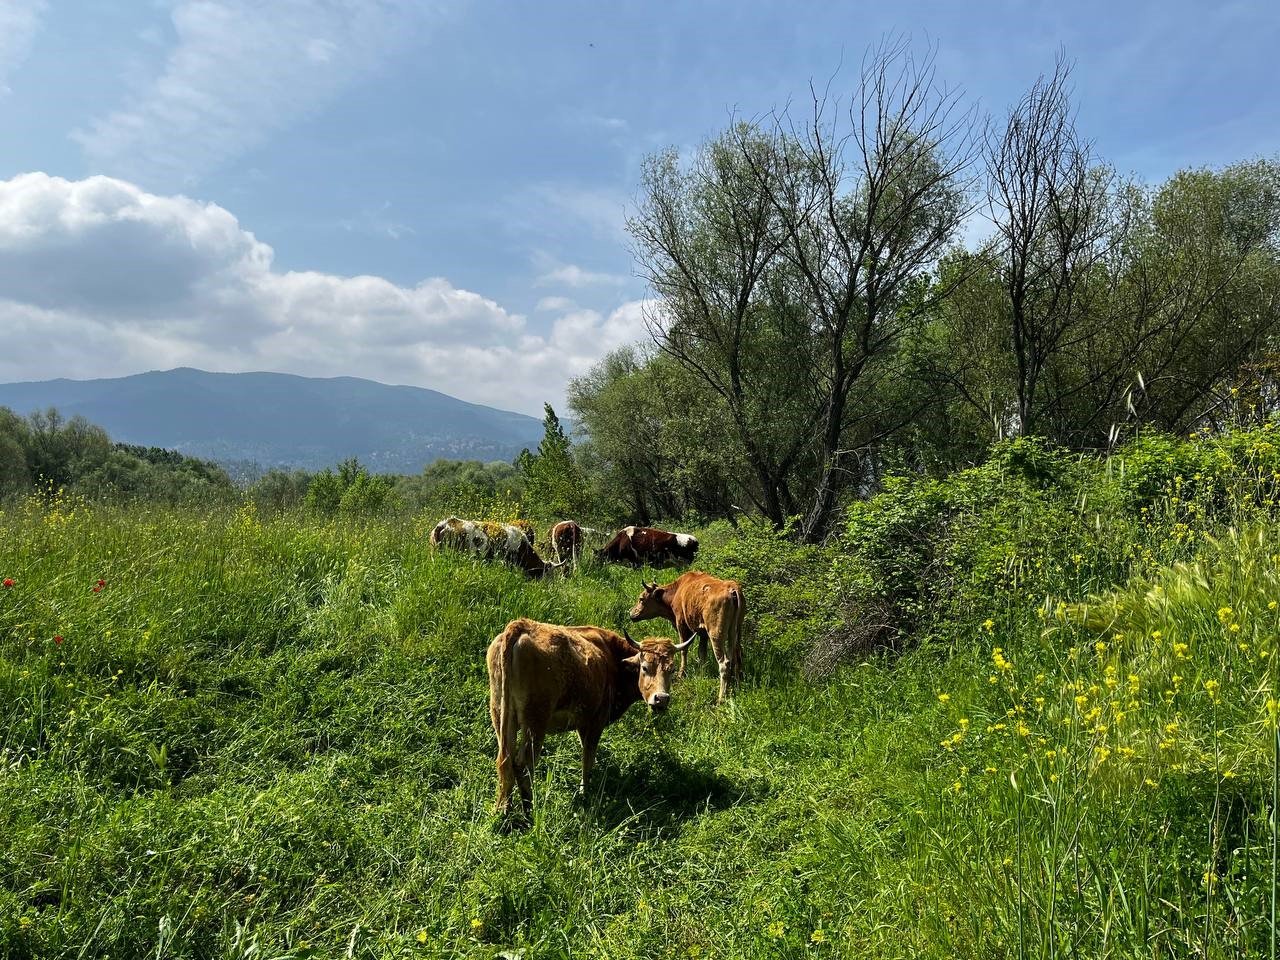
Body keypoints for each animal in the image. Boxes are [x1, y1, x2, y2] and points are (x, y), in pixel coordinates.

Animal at [486, 619, 691, 824]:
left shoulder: (582, 723)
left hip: (501, 716)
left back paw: (502, 810)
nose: (661, 699)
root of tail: (520, 626)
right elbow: (588, 759)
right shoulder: (595, 722)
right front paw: (585, 793)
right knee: (523, 764)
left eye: (672, 670)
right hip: (535, 723)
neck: (611, 659)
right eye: (645, 667)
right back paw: (529, 811)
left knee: (505, 761)